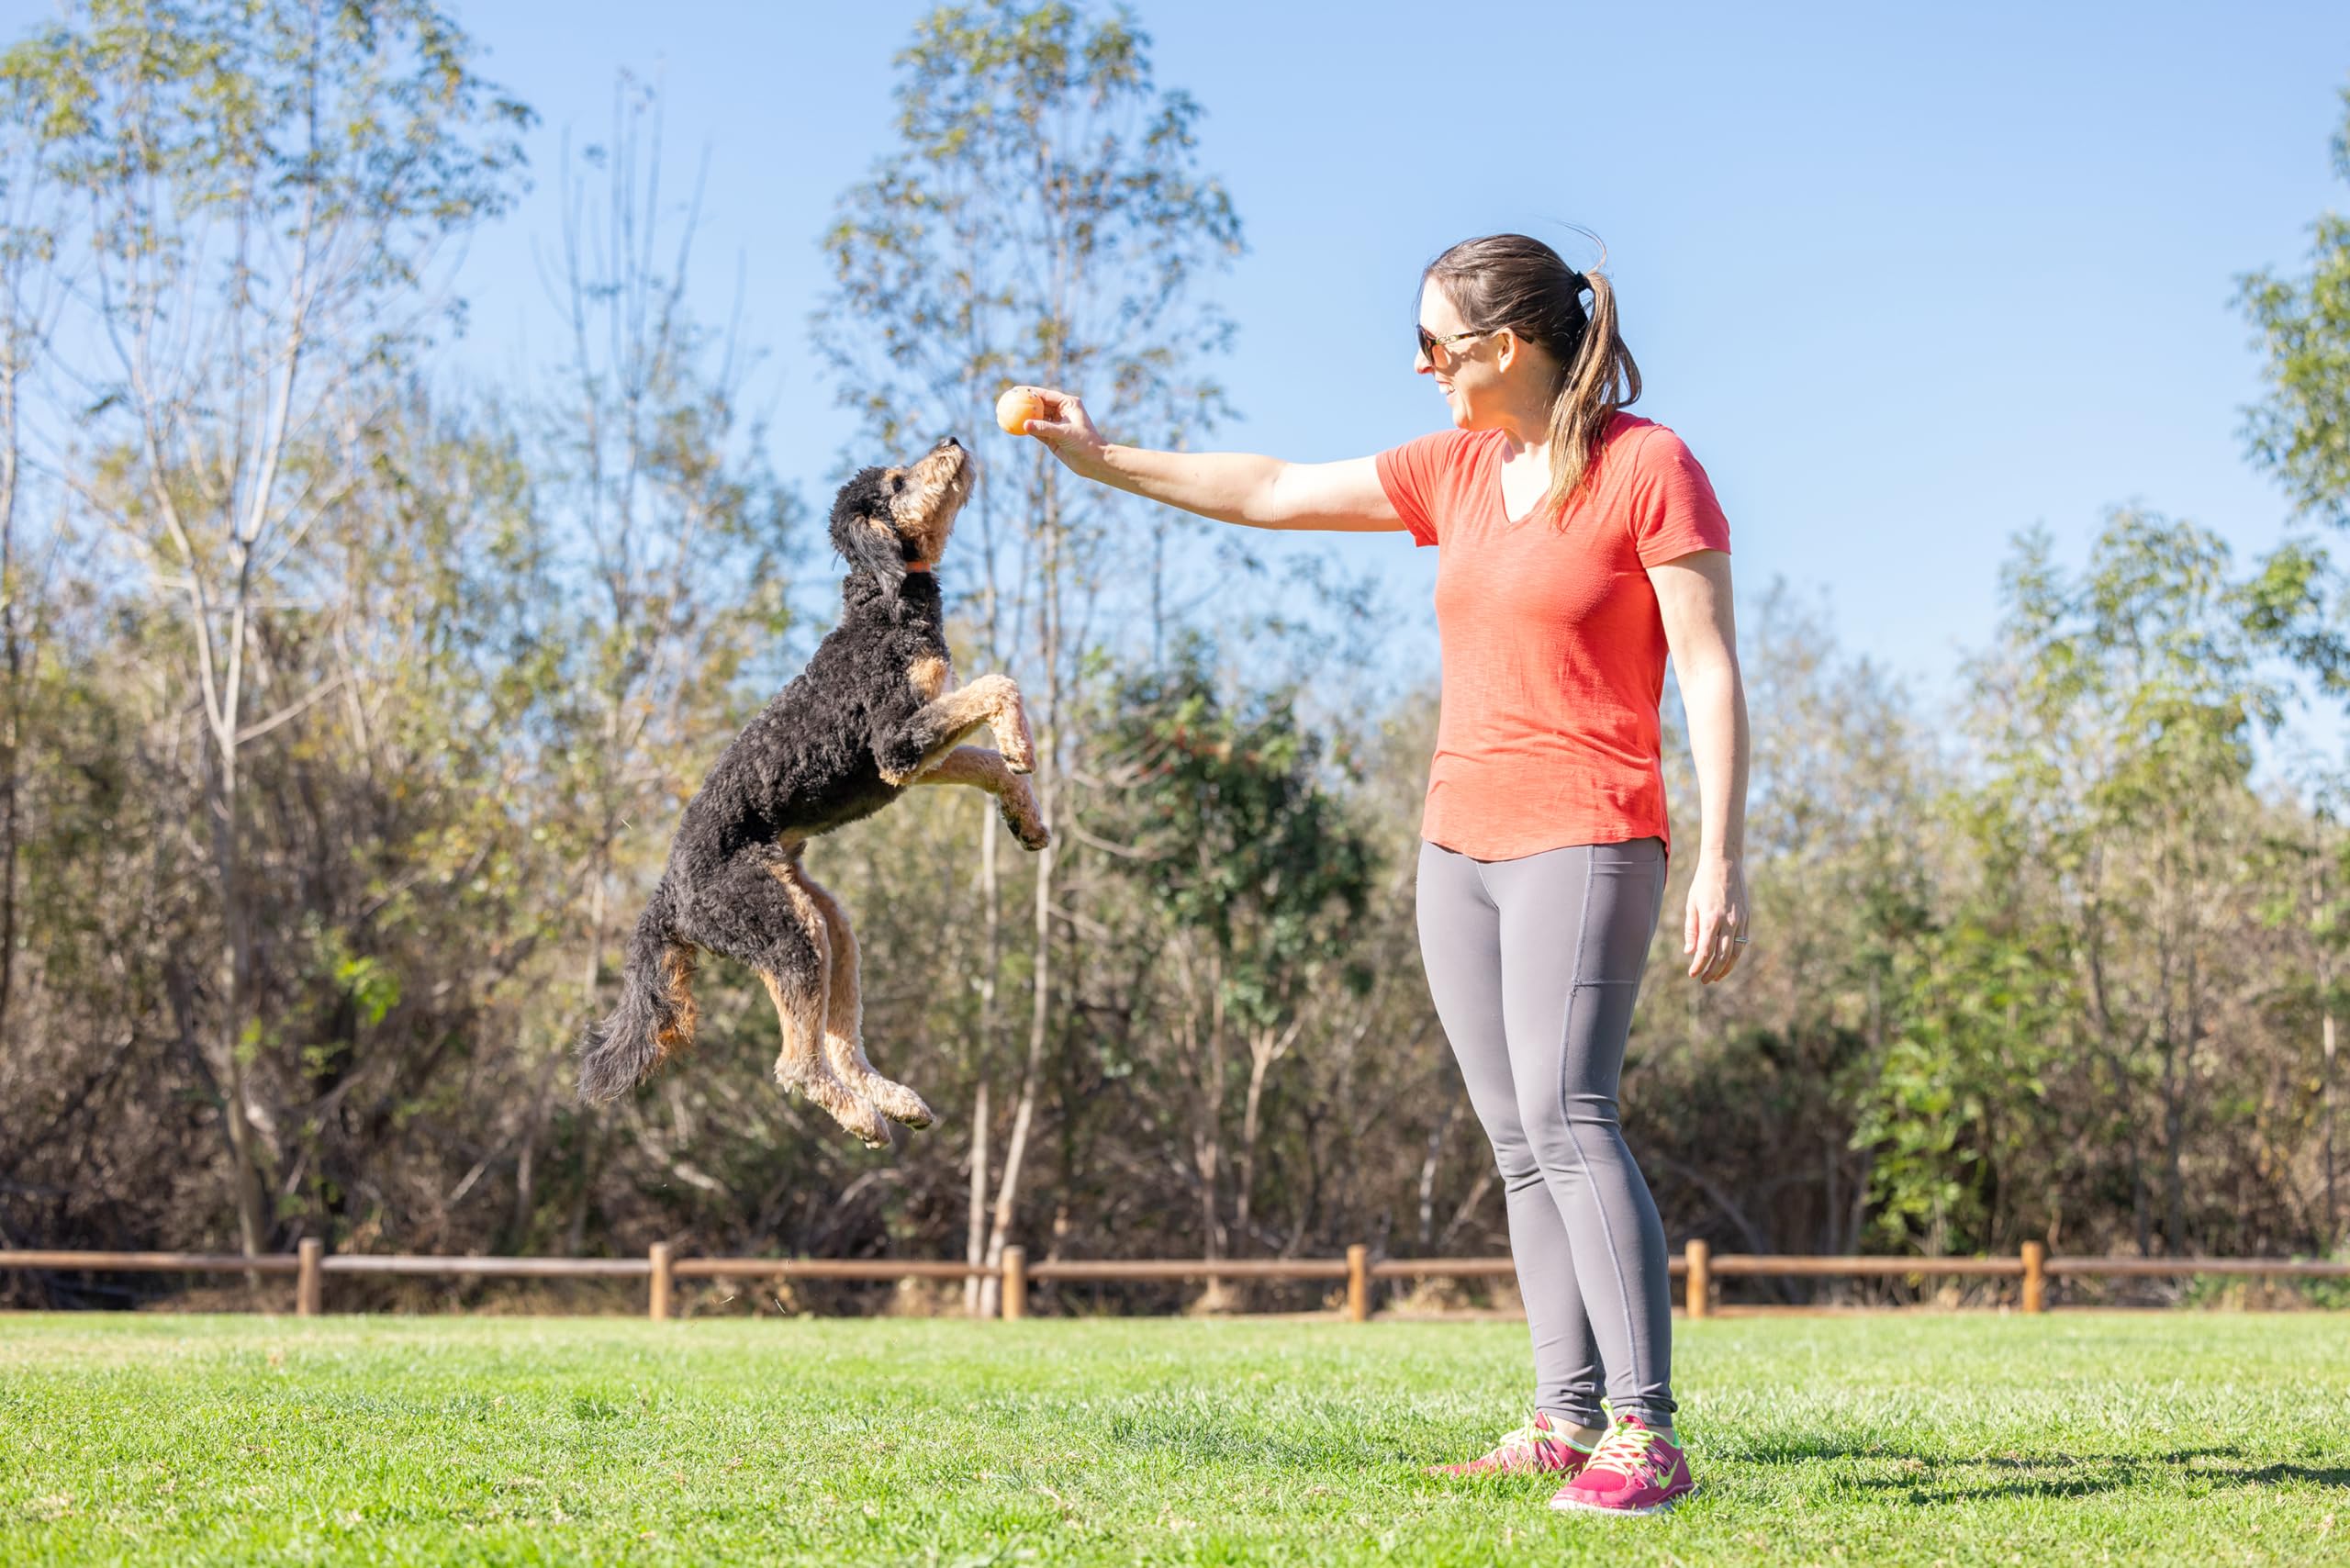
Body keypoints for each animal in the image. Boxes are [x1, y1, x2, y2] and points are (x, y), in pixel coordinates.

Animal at [577, 434, 1047, 1147]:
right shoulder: (895, 742)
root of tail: (669, 897)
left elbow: (986, 762)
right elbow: (998, 685)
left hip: (828, 926)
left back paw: (894, 1101)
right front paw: (1021, 742)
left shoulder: (911, 758)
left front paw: (1025, 814)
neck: (881, 602)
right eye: (899, 481)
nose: (953, 441)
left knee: (842, 1045)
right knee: (796, 1064)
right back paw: (860, 1116)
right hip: (783, 929)